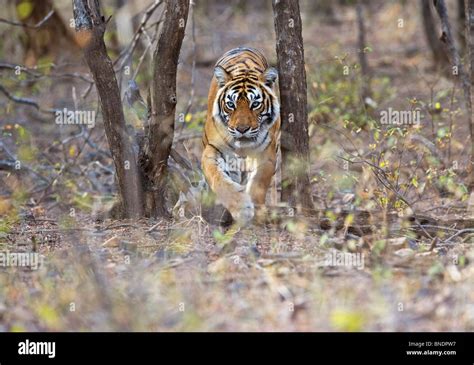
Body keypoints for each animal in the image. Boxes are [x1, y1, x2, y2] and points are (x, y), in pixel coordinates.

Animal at [201, 47, 282, 225]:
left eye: (255, 104)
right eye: (231, 104)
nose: (242, 129)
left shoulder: (267, 153)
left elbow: (259, 181)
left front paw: (256, 211)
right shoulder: (212, 149)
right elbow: (218, 178)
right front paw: (241, 208)